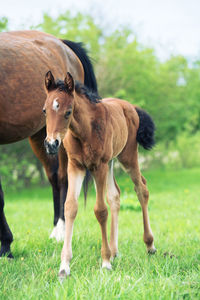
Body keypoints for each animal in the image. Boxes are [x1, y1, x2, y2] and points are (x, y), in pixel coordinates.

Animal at [0, 31, 97, 258]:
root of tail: (62, 44)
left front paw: (6, 246)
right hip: (41, 135)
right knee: (53, 177)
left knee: (62, 178)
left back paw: (61, 231)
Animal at [43, 71, 156, 278]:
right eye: (45, 111)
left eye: (68, 111)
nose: (51, 144)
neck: (84, 131)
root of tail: (130, 107)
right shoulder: (76, 166)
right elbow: (70, 207)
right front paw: (64, 266)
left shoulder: (99, 166)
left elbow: (101, 210)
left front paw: (105, 262)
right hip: (110, 162)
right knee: (115, 195)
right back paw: (114, 251)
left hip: (127, 156)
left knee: (141, 189)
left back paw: (149, 245)